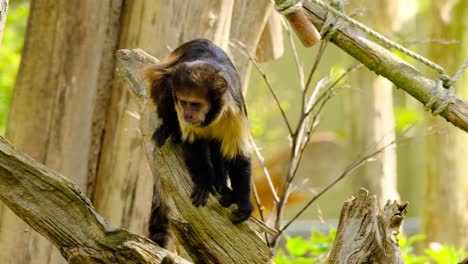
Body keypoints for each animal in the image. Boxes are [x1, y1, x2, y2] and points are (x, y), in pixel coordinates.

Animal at [142, 38, 252, 249]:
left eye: (195, 104)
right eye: (184, 102)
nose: (187, 114)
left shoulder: (233, 110)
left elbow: (238, 155)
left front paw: (243, 201)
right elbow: (193, 144)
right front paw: (204, 180)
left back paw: (222, 185)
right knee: (165, 82)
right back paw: (170, 129)